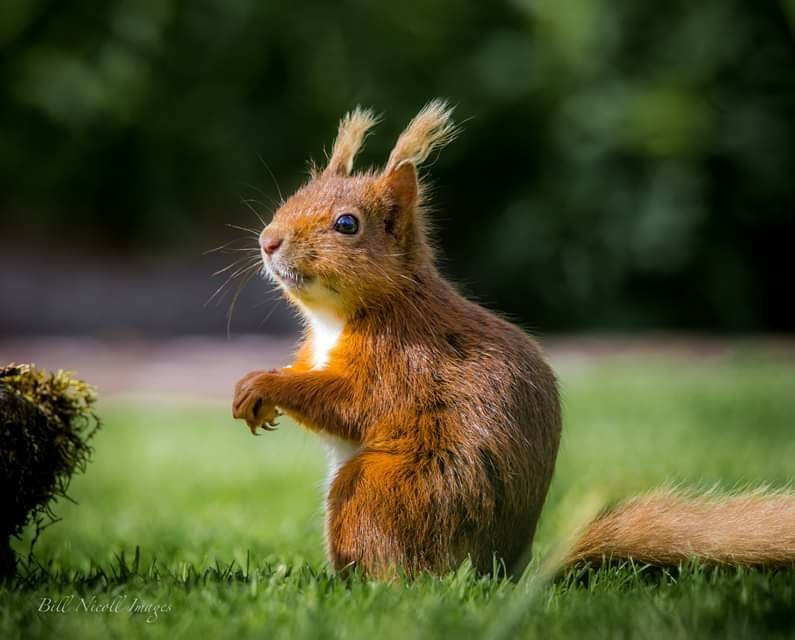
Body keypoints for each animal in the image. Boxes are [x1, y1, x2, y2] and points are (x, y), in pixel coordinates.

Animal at [233, 101, 795, 580]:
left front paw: (264, 385)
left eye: (347, 224)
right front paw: (256, 397)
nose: (268, 241)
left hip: (379, 493)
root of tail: (504, 572)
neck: (336, 317)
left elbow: (351, 403)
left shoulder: (401, 361)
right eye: (292, 199)